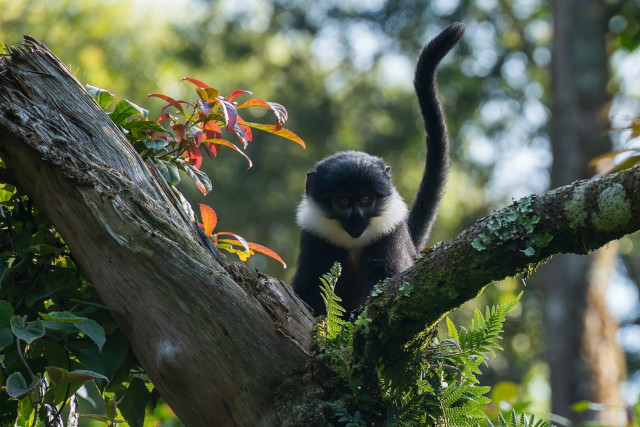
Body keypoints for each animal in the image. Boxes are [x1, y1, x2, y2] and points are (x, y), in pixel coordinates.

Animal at [292, 22, 465, 315]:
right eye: (343, 201)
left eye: (365, 199)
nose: (355, 219)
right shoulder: (316, 238)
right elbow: (308, 285)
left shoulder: (389, 235)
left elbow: (385, 282)